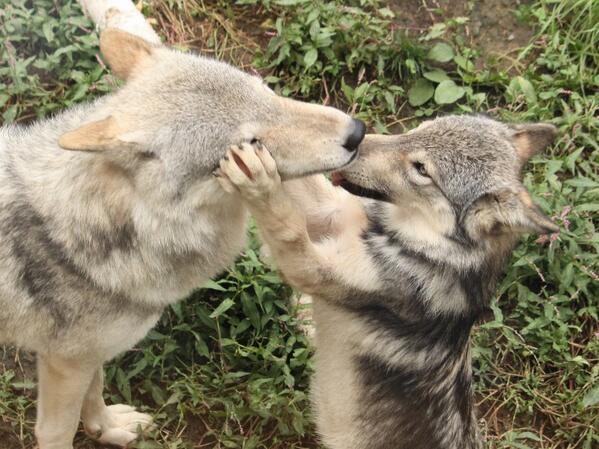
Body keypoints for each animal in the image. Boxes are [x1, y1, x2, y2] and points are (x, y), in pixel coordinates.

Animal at [0, 28, 366, 448]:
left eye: (266, 91)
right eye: (250, 145)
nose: (356, 133)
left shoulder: (84, 355)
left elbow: (95, 391)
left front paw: (106, 428)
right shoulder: (64, 362)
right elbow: (59, 428)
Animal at [214, 114, 556, 448]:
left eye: (421, 169)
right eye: (419, 129)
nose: (355, 143)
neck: (402, 239)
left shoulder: (309, 266)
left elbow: (287, 224)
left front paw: (258, 179)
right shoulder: (329, 213)